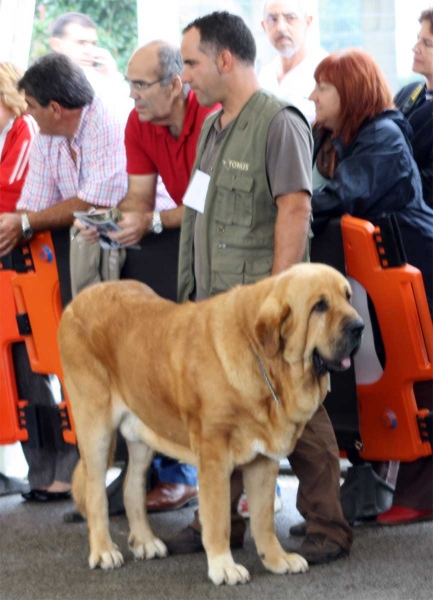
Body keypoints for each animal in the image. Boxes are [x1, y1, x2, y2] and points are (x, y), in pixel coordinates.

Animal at [57, 264, 362, 584]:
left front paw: (277, 559)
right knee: (96, 493)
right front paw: (223, 566)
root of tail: (79, 299)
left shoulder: (264, 462)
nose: (360, 327)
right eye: (320, 306)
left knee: (132, 487)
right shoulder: (214, 457)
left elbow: (263, 520)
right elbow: (218, 519)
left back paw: (145, 541)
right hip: (95, 429)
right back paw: (103, 551)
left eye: (347, 296)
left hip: (143, 433)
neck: (263, 361)